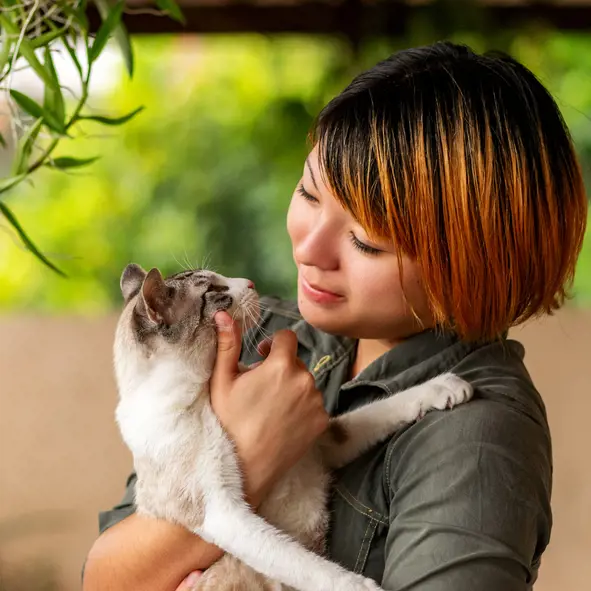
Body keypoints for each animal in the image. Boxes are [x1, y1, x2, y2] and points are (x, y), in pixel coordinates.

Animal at [113, 264, 474, 591]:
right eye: (216, 291)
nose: (250, 282)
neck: (203, 396)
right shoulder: (223, 512)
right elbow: (307, 565)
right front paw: (364, 588)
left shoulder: (323, 444)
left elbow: (381, 409)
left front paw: (444, 387)